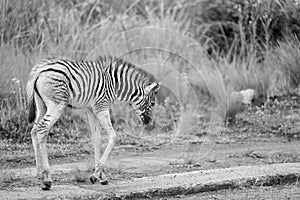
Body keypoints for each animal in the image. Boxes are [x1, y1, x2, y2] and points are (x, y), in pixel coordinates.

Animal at [27, 55, 161, 190]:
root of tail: (39, 71)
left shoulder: (91, 111)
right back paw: (47, 179)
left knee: (34, 131)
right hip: (56, 105)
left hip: (41, 105)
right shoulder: (101, 107)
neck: (115, 85)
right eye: (153, 103)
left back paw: (39, 174)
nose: (151, 126)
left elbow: (96, 139)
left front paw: (101, 176)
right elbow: (113, 136)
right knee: (42, 129)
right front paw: (95, 176)